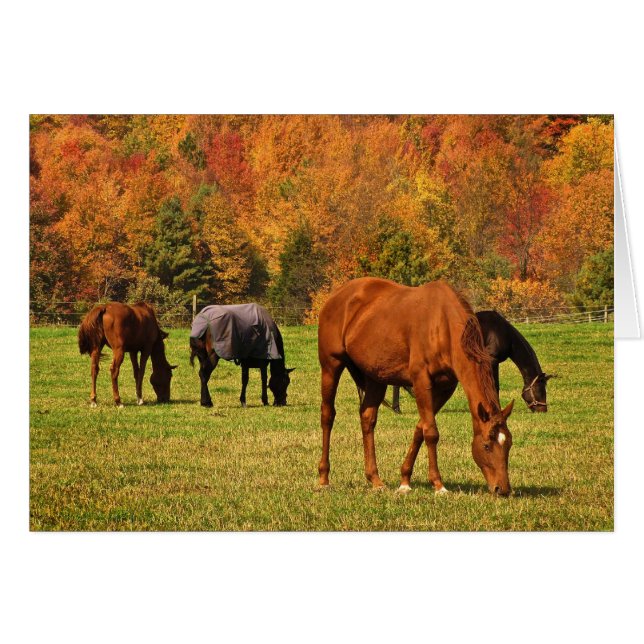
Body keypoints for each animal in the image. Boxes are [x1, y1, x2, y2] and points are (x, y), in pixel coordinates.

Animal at [317, 277, 515, 496]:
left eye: (508, 444)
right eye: (487, 445)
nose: (503, 489)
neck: (442, 325)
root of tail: (336, 296)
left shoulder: (445, 388)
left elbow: (420, 429)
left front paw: (405, 480)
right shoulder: (421, 381)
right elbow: (431, 432)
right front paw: (438, 484)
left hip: (376, 377)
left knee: (367, 418)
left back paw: (375, 479)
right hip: (331, 366)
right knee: (328, 415)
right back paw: (323, 478)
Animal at [391, 309, 555, 413]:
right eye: (540, 389)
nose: (543, 410)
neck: (503, 333)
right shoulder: (492, 361)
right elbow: (494, 386)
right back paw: (397, 408)